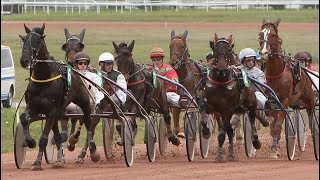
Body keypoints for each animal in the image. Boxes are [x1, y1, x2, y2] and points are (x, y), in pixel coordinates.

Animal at [19, 23, 99, 170]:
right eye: (24, 40)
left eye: (38, 41)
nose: (24, 60)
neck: (43, 79)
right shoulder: (33, 107)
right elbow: (24, 118)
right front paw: (30, 141)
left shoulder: (51, 111)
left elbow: (44, 138)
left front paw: (37, 163)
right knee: (58, 135)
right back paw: (60, 160)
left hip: (84, 102)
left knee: (88, 121)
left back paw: (91, 148)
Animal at [205, 33, 260, 162]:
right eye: (215, 49)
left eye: (229, 50)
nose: (221, 69)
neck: (221, 82)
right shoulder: (216, 109)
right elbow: (224, 130)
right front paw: (223, 154)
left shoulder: (228, 109)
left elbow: (222, 133)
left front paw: (220, 155)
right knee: (230, 129)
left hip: (251, 103)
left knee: (252, 118)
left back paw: (255, 141)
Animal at [258, 18, 314, 159]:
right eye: (260, 34)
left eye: (273, 35)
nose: (264, 53)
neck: (276, 74)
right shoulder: (272, 102)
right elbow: (273, 125)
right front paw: (275, 147)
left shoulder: (284, 101)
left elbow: (278, 125)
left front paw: (274, 149)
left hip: (310, 99)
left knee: (311, 118)